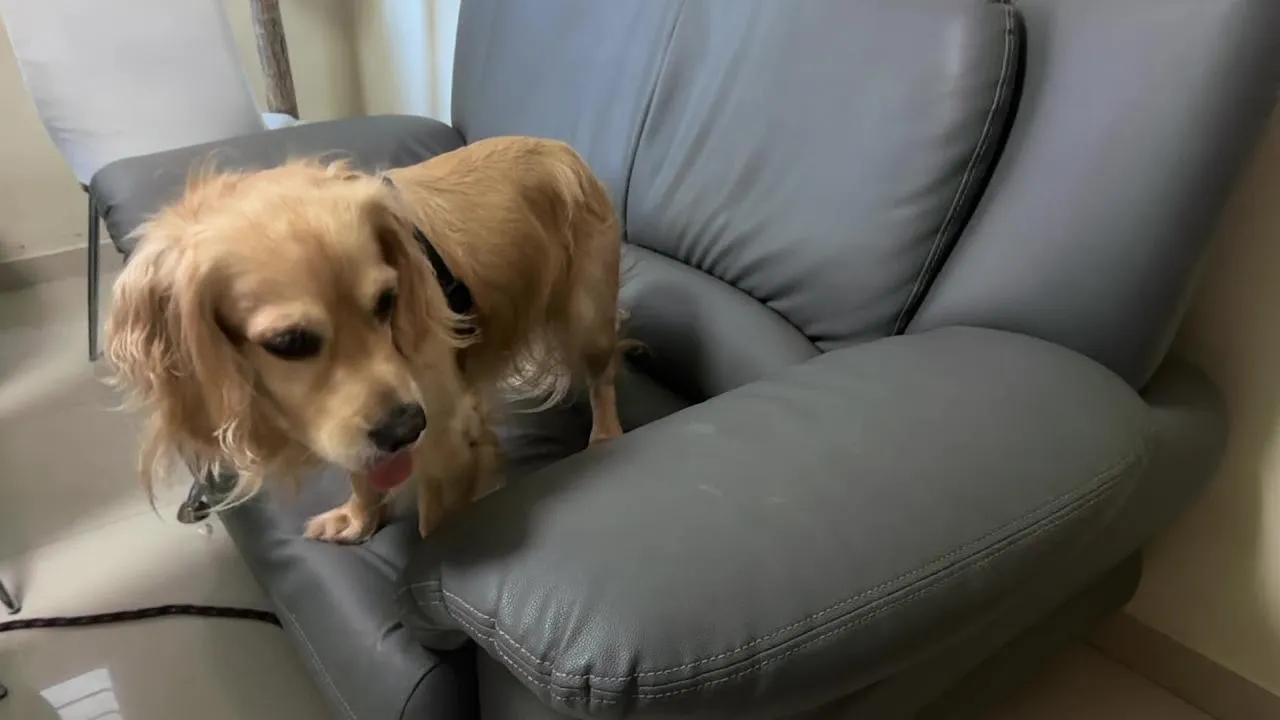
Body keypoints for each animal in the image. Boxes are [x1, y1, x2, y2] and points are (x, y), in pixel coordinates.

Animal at [105, 136, 626, 543]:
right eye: (289, 342)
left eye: (387, 301)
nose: (405, 427)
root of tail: (564, 150)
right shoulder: (355, 429)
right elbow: (363, 470)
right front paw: (359, 518)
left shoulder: (439, 436)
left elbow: (434, 521)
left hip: (589, 319)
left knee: (603, 379)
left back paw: (605, 434)